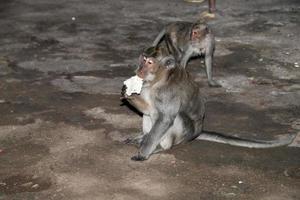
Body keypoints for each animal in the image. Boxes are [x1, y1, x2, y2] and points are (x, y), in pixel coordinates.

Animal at [120, 48, 296, 161]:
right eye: (143, 60)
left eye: (150, 62)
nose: (139, 69)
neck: (158, 80)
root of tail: (197, 133)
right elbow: (148, 108)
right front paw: (126, 92)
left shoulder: (168, 92)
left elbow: (165, 118)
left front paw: (143, 153)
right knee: (150, 113)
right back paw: (143, 137)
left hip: (183, 135)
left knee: (177, 116)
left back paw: (161, 147)